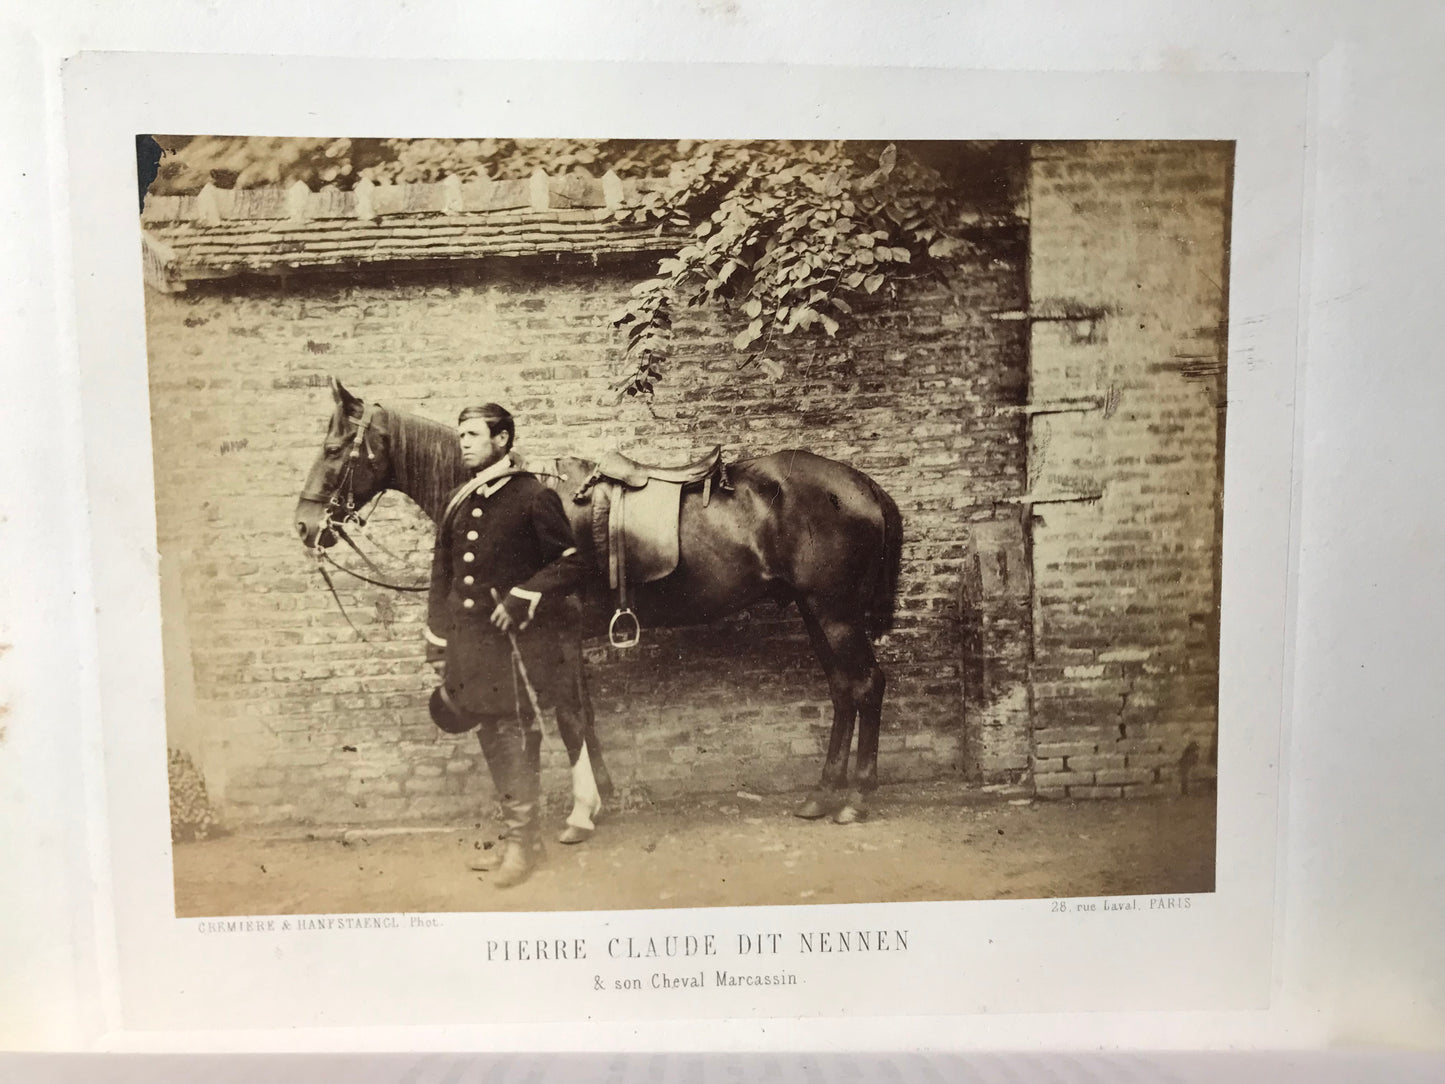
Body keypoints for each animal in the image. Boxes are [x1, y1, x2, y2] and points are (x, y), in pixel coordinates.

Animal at [294, 378, 901, 820]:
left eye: (333, 449)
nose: (305, 525)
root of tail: (862, 485)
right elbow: (579, 714)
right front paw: (602, 793)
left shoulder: (557, 629)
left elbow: (568, 715)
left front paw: (586, 806)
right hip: (813, 610)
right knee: (842, 689)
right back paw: (822, 794)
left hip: (835, 612)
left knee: (866, 685)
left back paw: (857, 798)